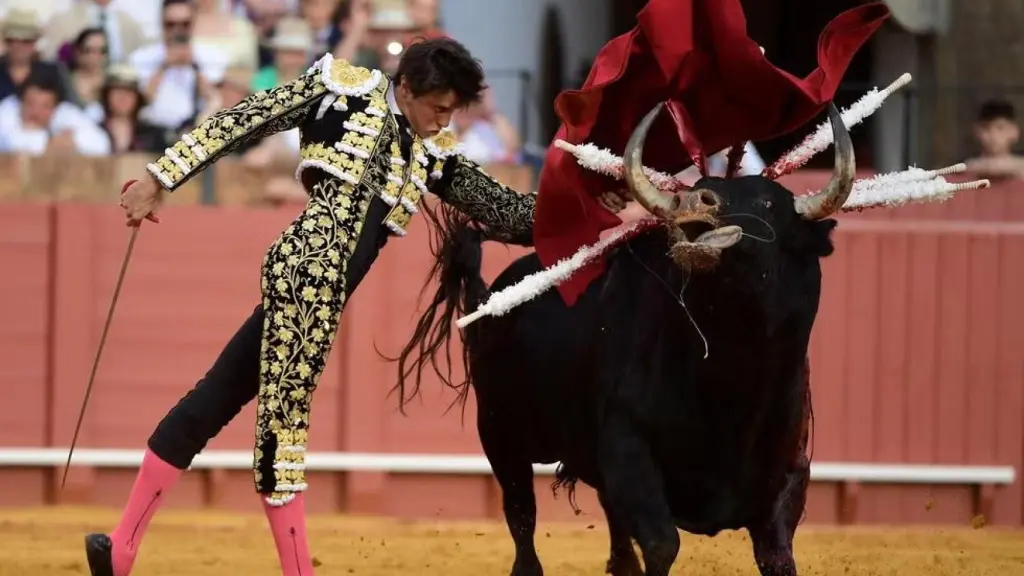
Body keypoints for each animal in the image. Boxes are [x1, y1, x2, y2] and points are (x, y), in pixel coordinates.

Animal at [391, 103, 856, 573]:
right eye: (699, 187)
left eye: (767, 203)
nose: (695, 201)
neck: (728, 375)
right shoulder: (628, 452)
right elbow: (661, 543)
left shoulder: (790, 475)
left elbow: (777, 553)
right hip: (501, 435)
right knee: (523, 522)